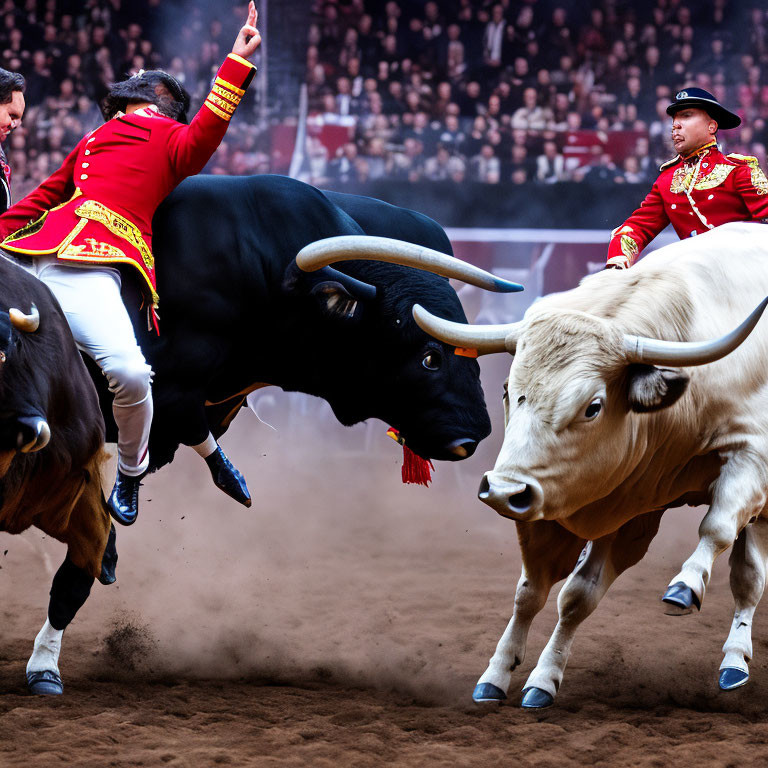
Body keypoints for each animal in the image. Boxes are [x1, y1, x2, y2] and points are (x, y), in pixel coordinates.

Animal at [414, 220, 768, 708]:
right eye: (507, 389)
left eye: (593, 406)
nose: (502, 491)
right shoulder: (599, 498)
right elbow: (542, 593)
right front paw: (504, 674)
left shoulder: (752, 460)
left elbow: (715, 527)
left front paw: (685, 585)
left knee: (748, 578)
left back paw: (734, 661)